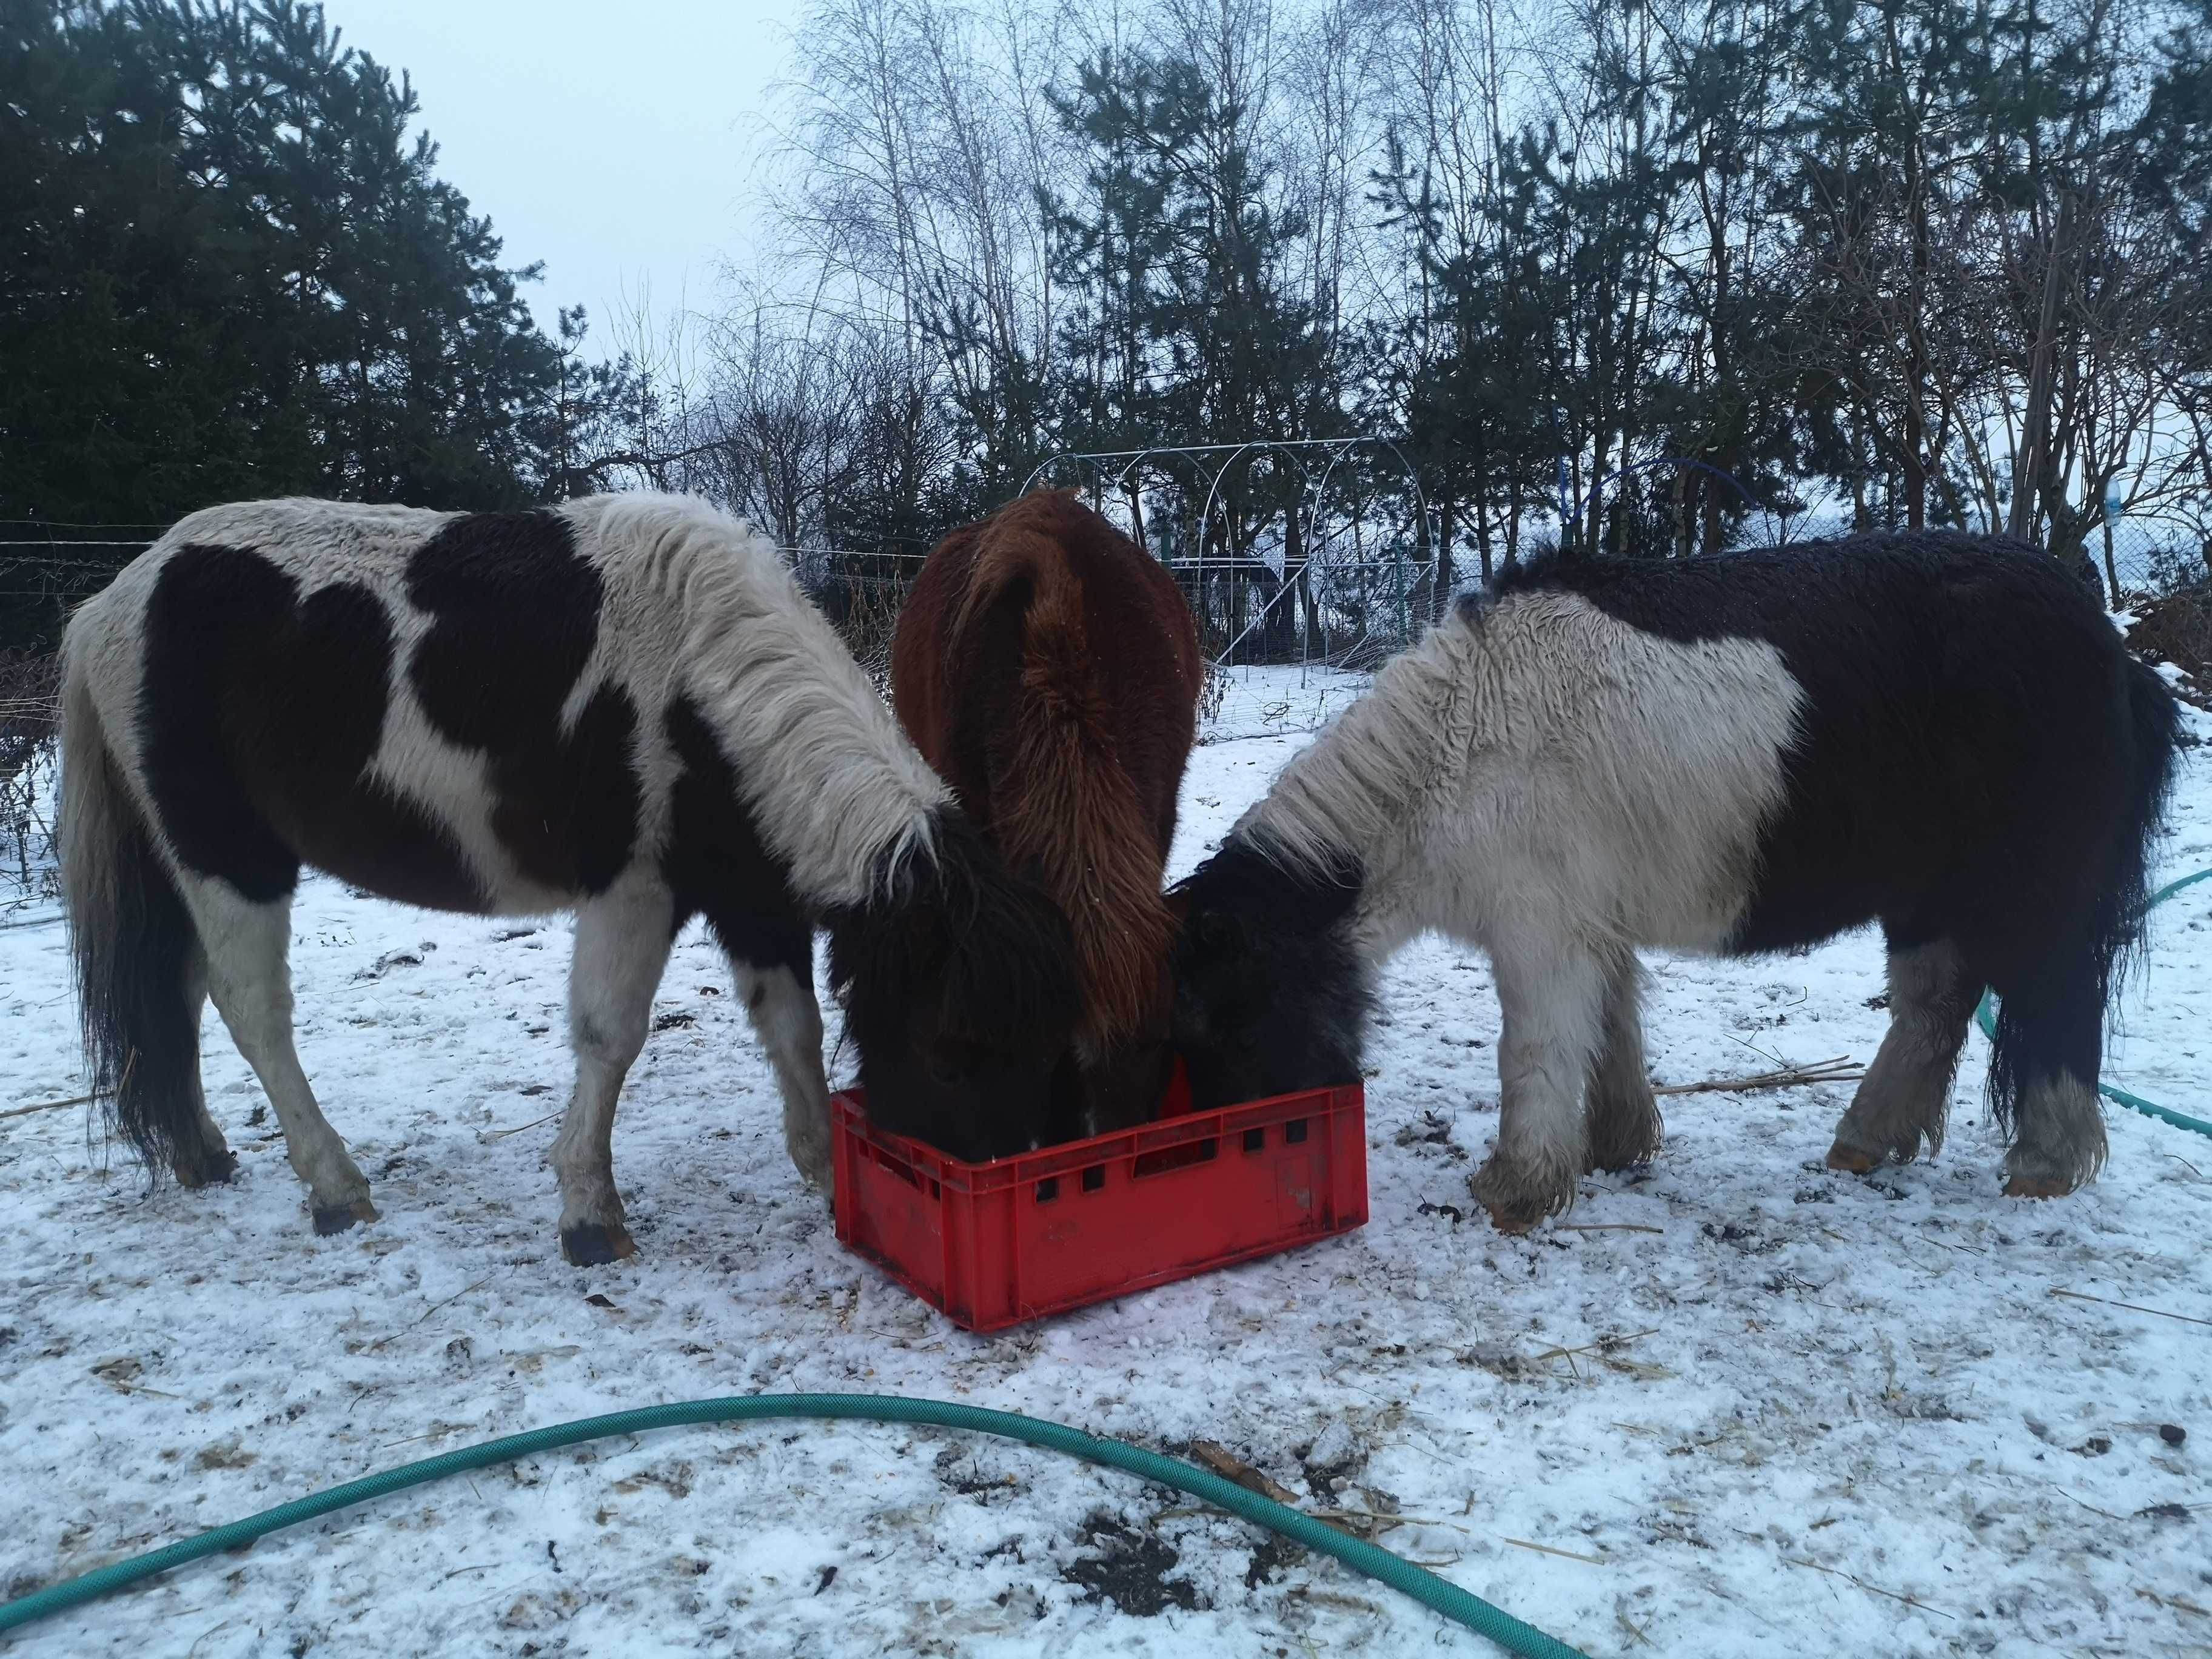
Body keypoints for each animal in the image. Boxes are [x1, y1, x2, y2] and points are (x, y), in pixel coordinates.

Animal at [60, 493, 1079, 1256]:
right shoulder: (633, 893)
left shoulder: (751, 895)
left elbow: (794, 1029)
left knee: (182, 992)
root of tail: (113, 599)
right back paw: (337, 1188)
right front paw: (590, 1213)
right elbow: (610, 1037)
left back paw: (203, 1154)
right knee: (252, 1011)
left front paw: (828, 1175)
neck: (700, 686)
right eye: (948, 1057)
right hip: (232, 861)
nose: (1007, 1184)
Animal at [1168, 533, 2185, 1238]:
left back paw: (2044, 1164)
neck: (1464, 745)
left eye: (1228, 1021)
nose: (1243, 1159)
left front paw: (1517, 1188)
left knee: (2053, 1001)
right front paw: (1614, 1148)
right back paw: (1865, 1142)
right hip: (1927, 895)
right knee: (1934, 1008)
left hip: (2032, 895)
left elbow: (1534, 1053)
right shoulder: (1592, 926)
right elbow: (1610, 1034)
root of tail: (2111, 648)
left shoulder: (1540, 934)